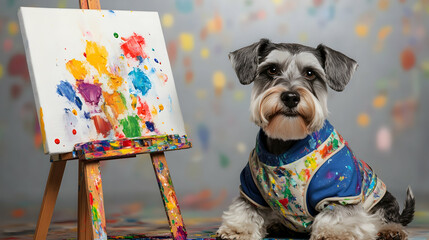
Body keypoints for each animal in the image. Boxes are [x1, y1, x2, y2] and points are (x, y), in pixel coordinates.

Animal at [217, 38, 414, 239]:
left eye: (310, 73)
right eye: (272, 69)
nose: (290, 97)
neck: (286, 148)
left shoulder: (340, 192)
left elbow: (338, 216)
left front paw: (334, 233)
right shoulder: (251, 189)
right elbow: (246, 209)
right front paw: (238, 229)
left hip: (382, 200)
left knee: (384, 218)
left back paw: (391, 230)